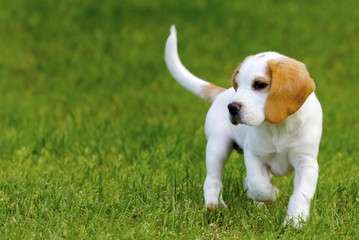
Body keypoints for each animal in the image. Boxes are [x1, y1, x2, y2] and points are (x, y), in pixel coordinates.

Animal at [165, 26, 324, 229]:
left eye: (259, 85)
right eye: (238, 85)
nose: (231, 107)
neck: (278, 127)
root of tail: (222, 94)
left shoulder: (307, 162)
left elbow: (300, 194)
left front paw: (295, 221)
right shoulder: (254, 154)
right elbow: (259, 185)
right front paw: (272, 192)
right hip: (218, 146)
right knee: (212, 180)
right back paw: (215, 206)